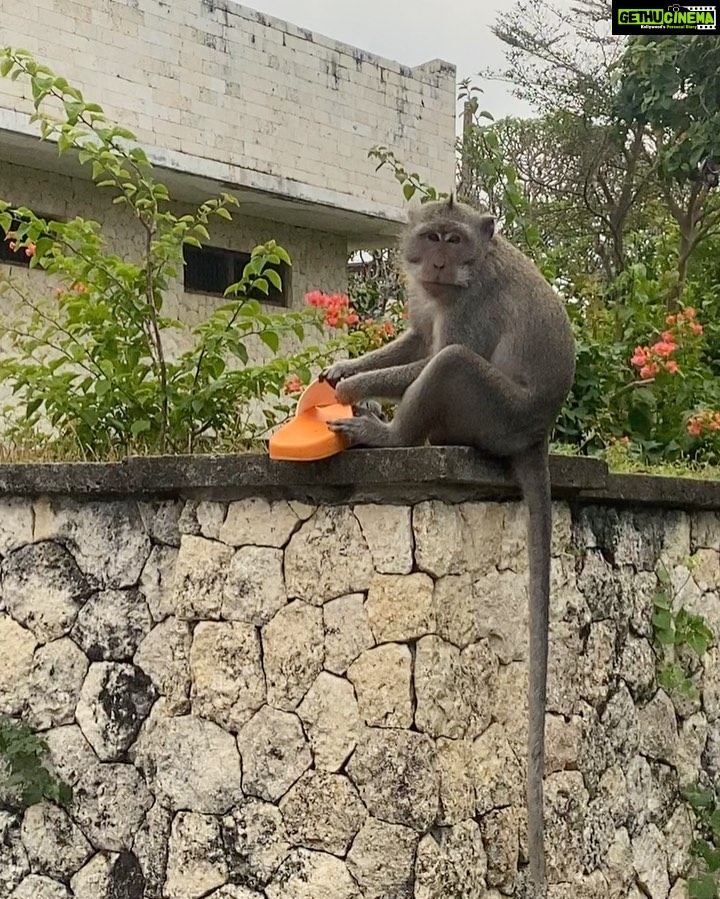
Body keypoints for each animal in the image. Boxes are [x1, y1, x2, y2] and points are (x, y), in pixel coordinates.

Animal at [321, 197, 576, 896]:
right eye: (431, 236)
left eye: (454, 240)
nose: (436, 261)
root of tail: (536, 433)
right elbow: (415, 336)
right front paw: (346, 369)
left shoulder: (472, 305)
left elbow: (437, 350)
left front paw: (351, 390)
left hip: (493, 415)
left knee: (452, 364)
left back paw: (390, 436)